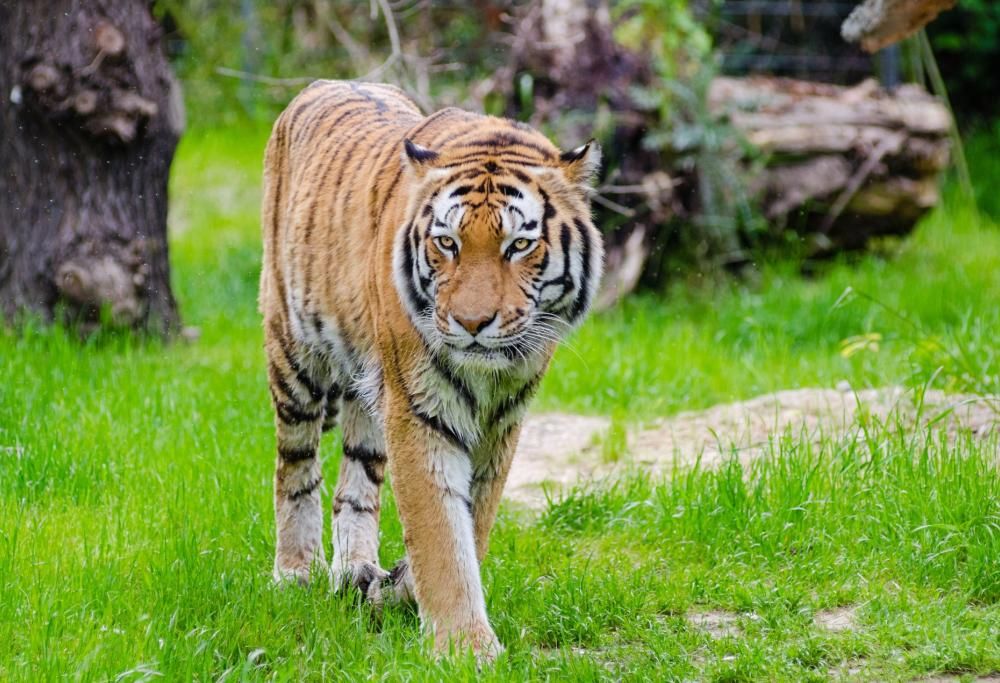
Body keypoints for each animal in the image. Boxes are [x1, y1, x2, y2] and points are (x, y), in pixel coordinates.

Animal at [259, 80, 603, 660]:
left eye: (519, 245)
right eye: (448, 242)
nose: (472, 322)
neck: (490, 376)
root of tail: (322, 84)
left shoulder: (502, 422)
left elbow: (472, 524)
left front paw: (397, 590)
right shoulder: (420, 411)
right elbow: (441, 532)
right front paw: (466, 648)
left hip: (368, 392)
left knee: (356, 482)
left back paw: (354, 570)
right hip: (295, 354)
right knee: (296, 467)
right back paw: (296, 573)